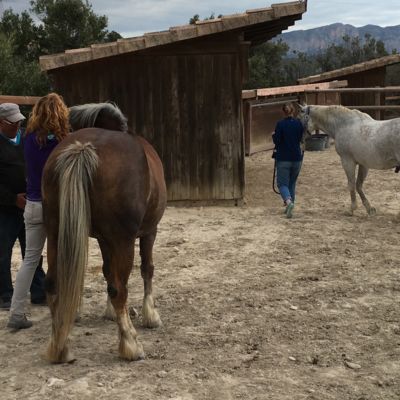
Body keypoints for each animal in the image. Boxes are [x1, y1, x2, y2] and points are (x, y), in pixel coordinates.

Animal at [42, 102, 167, 363]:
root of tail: (84, 149)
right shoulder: (148, 232)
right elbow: (146, 269)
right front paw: (150, 315)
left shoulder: (103, 239)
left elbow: (107, 270)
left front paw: (109, 312)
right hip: (125, 241)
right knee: (120, 288)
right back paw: (130, 345)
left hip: (55, 233)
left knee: (53, 284)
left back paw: (59, 347)